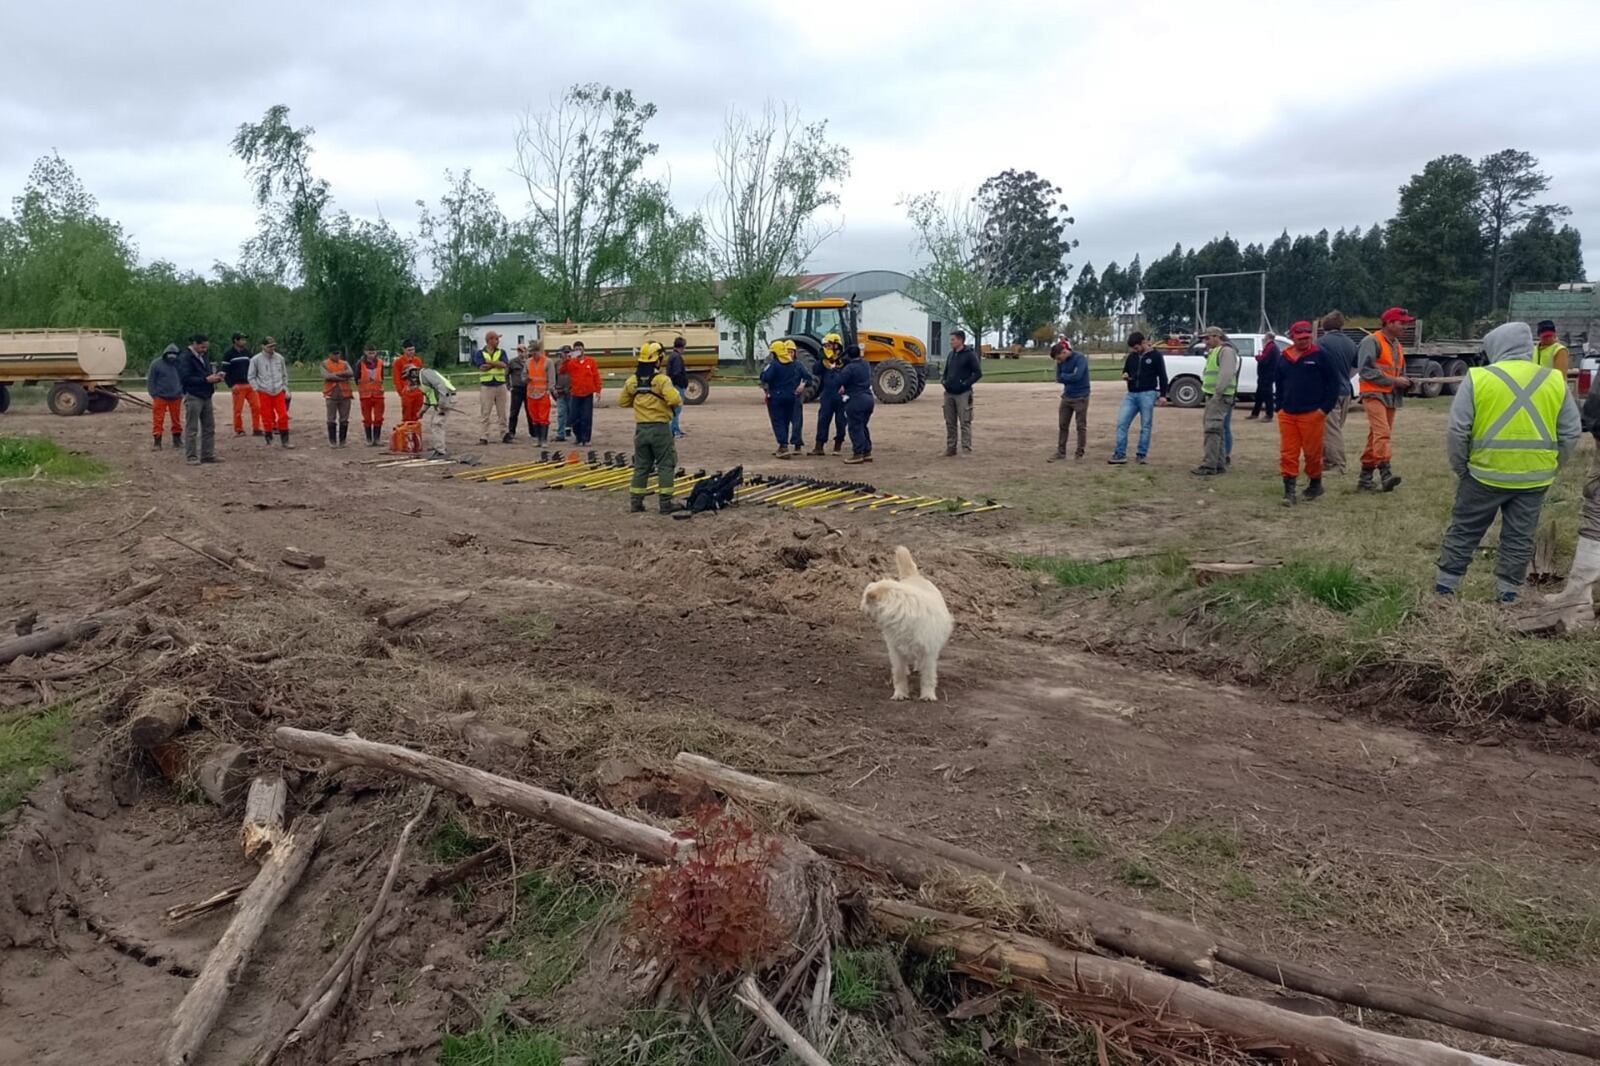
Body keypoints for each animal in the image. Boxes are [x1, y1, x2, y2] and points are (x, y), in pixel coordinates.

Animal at [864, 547, 947, 697]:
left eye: (865, 599)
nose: (860, 607)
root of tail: (914, 577)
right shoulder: (896, 651)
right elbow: (899, 674)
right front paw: (900, 694)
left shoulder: (929, 653)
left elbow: (928, 677)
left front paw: (928, 695)